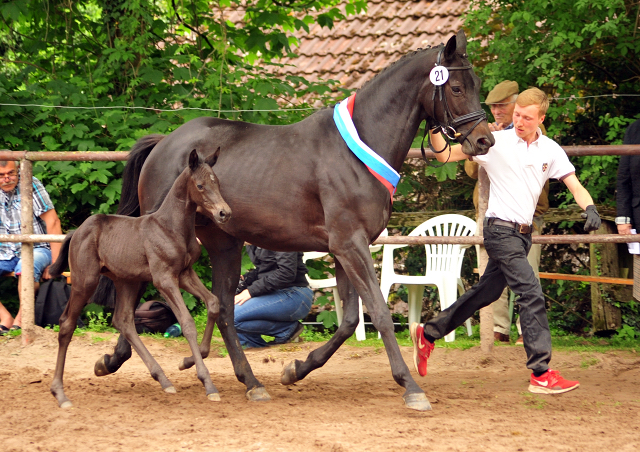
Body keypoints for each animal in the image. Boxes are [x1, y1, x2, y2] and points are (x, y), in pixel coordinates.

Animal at [50, 149, 230, 410]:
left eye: (217, 183)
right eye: (200, 185)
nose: (224, 213)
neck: (171, 227)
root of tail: (76, 232)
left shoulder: (185, 274)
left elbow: (213, 303)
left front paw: (189, 360)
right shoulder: (164, 279)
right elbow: (186, 322)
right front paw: (207, 383)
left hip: (126, 281)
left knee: (123, 320)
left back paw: (163, 379)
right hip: (85, 281)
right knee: (66, 324)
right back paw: (60, 394)